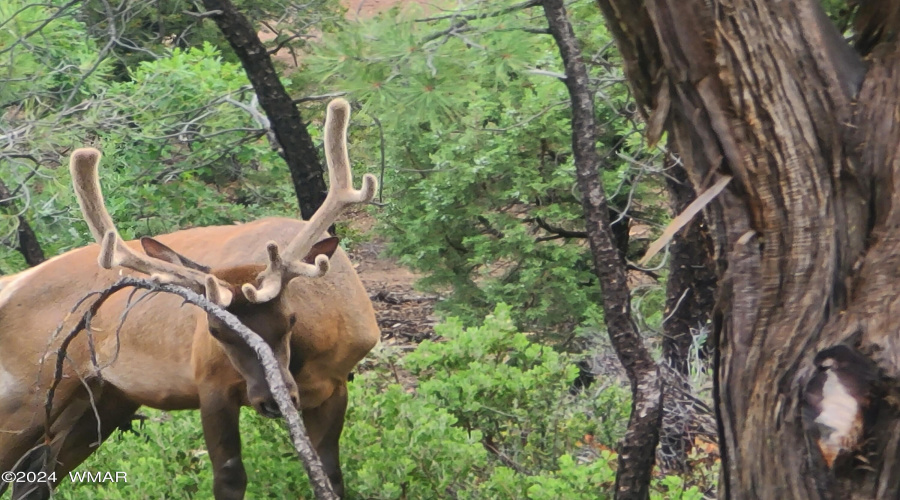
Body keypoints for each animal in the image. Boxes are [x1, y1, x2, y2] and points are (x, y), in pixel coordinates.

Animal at [0, 98, 380, 500]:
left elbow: (331, 474)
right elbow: (229, 477)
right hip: (26, 388)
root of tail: (11, 283)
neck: (308, 355)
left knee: (34, 474)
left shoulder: (336, 383)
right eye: (215, 332)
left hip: (101, 398)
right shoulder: (210, 383)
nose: (273, 400)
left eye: (290, 320)